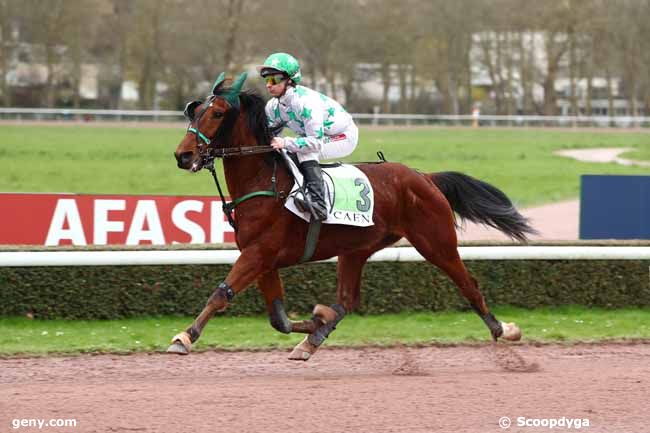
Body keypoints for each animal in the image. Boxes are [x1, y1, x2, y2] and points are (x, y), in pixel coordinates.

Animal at [168, 72, 532, 360]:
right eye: (194, 110)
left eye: (217, 113)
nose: (183, 155)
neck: (264, 182)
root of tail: (425, 177)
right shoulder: (263, 260)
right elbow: (278, 319)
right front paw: (314, 322)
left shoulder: (259, 254)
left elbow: (221, 294)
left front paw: (184, 337)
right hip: (356, 249)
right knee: (346, 300)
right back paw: (312, 339)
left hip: (436, 241)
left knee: (468, 284)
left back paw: (504, 329)